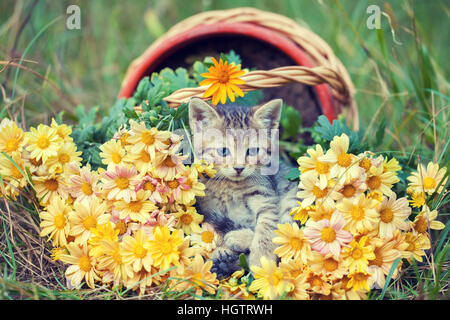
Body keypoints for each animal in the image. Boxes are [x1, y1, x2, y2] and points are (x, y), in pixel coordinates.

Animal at [189, 98, 298, 278]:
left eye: (252, 151)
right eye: (223, 151)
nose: (239, 168)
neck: (231, 187)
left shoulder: (267, 198)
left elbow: (267, 228)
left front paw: (261, 261)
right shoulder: (209, 206)